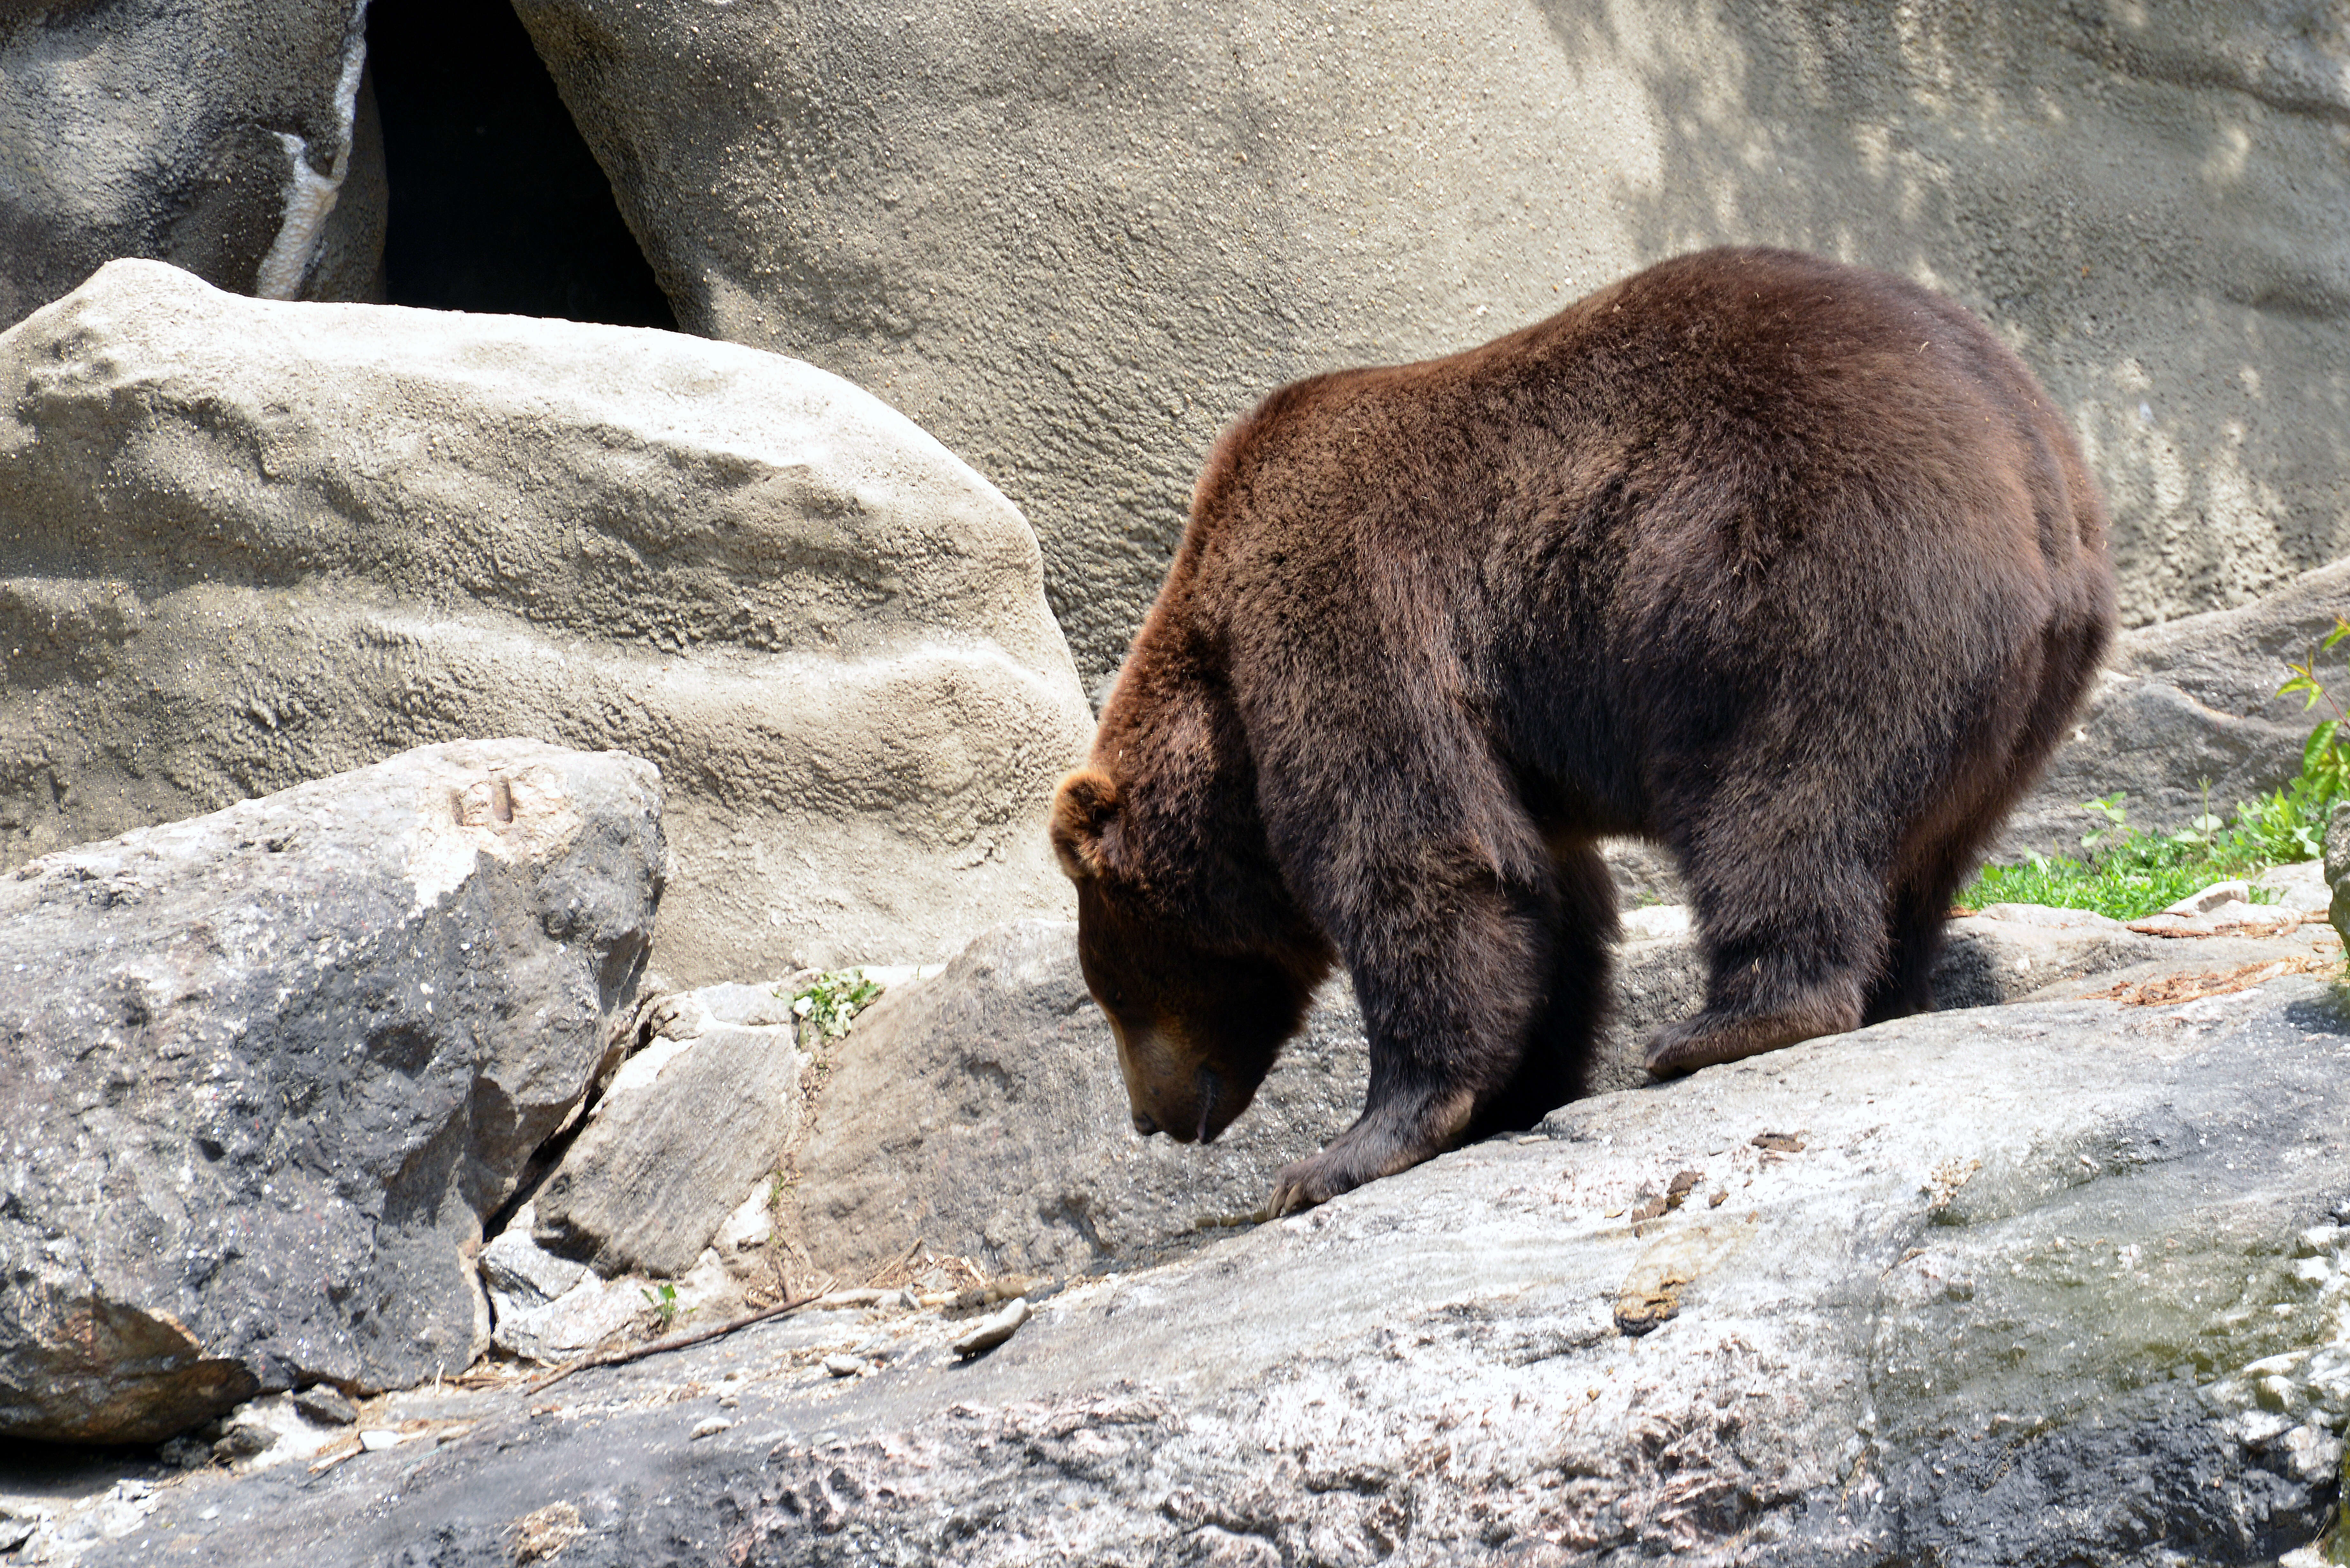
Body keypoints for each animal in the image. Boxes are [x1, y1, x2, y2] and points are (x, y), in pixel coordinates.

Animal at [1058, 251, 2124, 1222]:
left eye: (1115, 989)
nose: (1148, 1116)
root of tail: (2037, 467)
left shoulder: (1340, 611)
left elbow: (1414, 856)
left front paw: (1341, 1152)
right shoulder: (1513, 755)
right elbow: (1541, 895)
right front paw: (1518, 1089)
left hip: (1813, 580)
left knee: (1779, 802)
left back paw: (1724, 1024)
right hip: (2014, 703)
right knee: (1918, 857)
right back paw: (1880, 992)